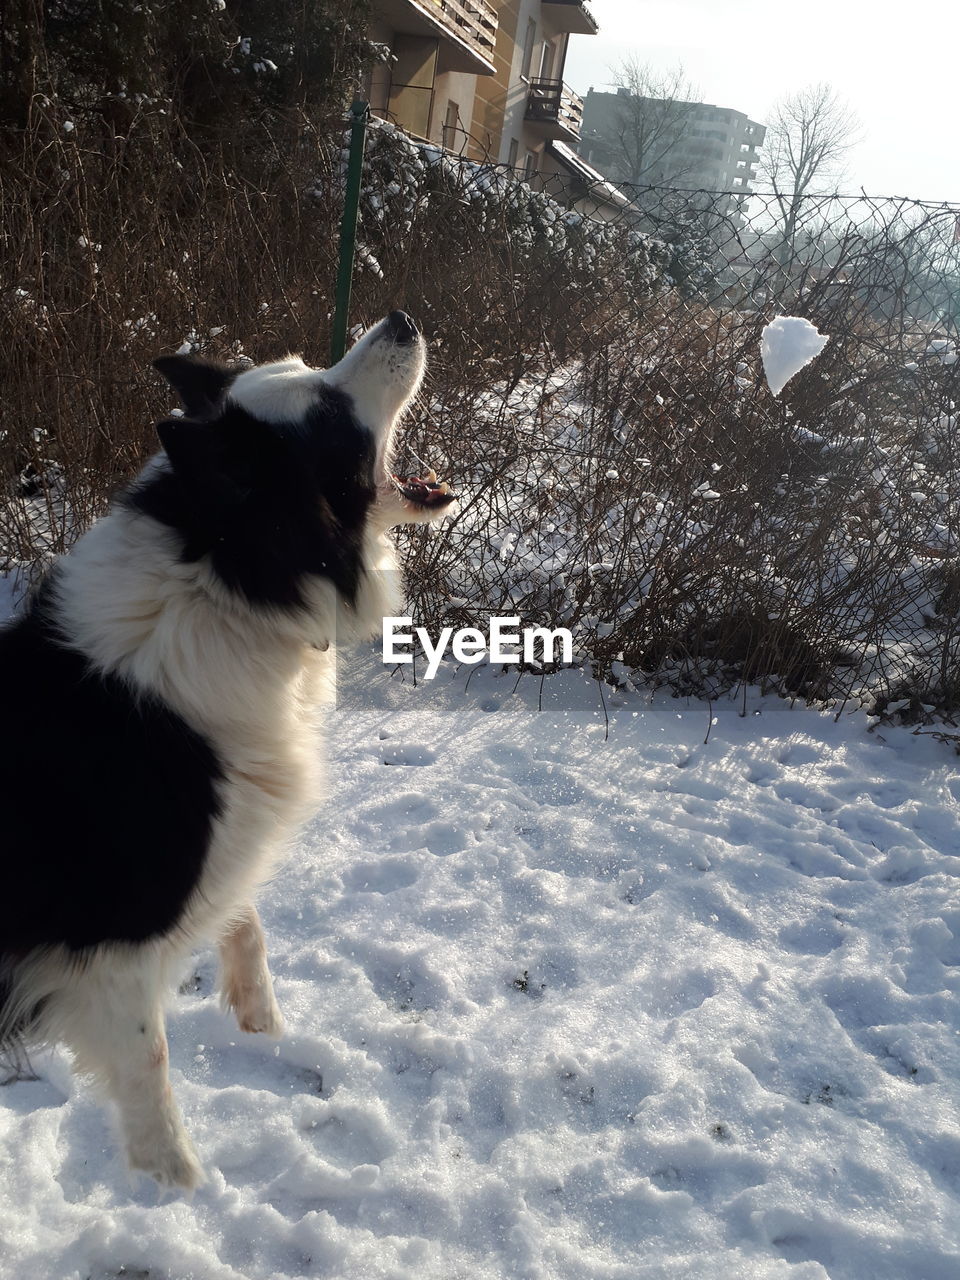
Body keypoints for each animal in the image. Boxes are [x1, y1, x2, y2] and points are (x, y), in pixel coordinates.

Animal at [0, 309, 455, 1187]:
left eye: (309, 363)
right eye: (329, 416)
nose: (403, 320)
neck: (226, 577)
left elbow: (245, 917)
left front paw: (261, 1019)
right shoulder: (110, 945)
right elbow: (150, 1067)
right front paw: (179, 1188)